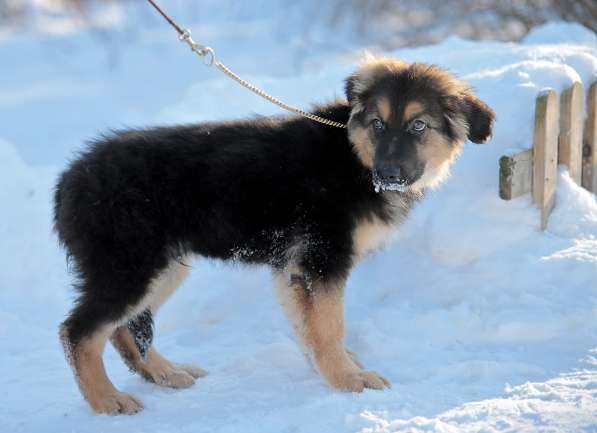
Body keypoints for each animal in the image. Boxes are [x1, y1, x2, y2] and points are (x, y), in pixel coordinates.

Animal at [54, 56, 494, 412]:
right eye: (378, 124)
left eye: (419, 126)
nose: (388, 174)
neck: (352, 157)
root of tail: (68, 181)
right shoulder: (321, 259)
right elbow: (329, 327)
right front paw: (348, 380)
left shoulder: (293, 268)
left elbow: (309, 330)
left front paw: (336, 369)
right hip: (131, 268)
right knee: (79, 331)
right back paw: (106, 400)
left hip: (163, 268)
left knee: (124, 329)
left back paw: (166, 373)